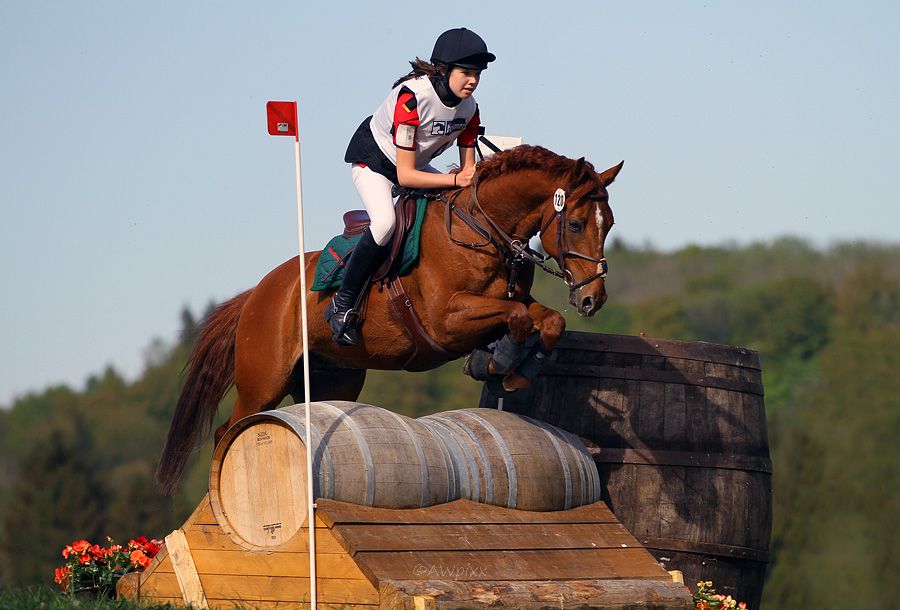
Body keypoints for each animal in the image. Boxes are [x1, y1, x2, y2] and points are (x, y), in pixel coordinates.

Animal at [155, 145, 624, 492]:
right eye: (576, 223)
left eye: (611, 223)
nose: (593, 300)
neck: (481, 232)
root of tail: (258, 293)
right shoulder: (445, 320)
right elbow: (518, 318)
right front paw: (496, 362)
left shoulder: (510, 301)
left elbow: (546, 321)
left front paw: (511, 367)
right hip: (263, 382)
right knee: (228, 432)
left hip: (333, 380)